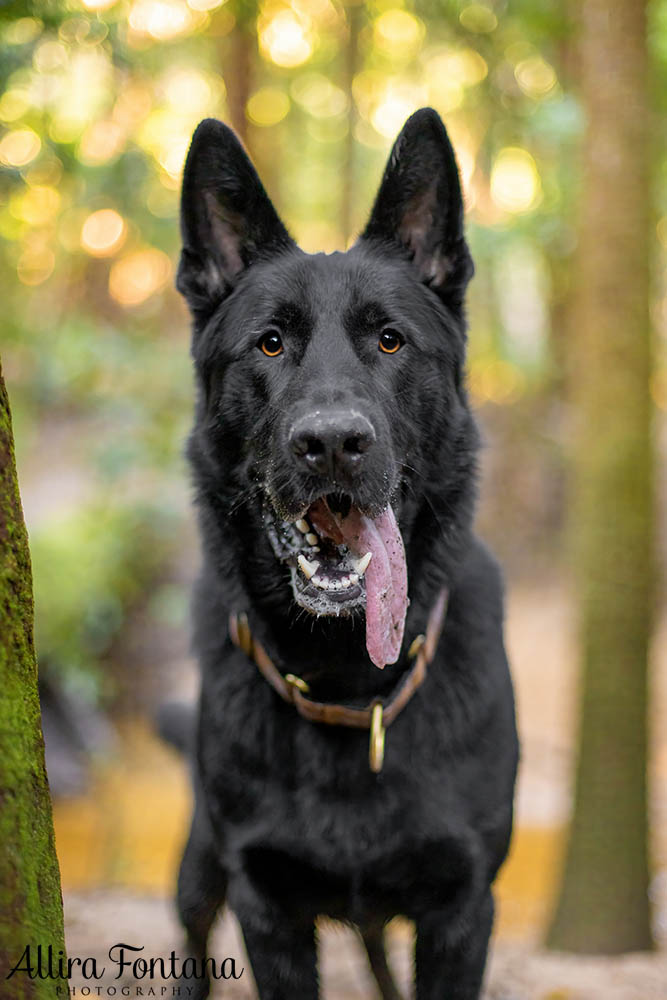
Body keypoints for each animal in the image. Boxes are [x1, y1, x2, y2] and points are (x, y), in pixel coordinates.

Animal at [175, 109, 520, 1000]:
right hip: (200, 866)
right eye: (268, 344)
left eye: (390, 341)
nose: (331, 443)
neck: (347, 683)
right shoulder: (265, 907)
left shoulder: (461, 911)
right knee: (189, 933)